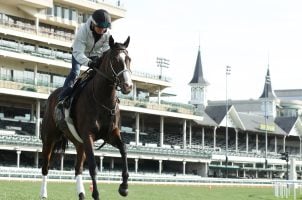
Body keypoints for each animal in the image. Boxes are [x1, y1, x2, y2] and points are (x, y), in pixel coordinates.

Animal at [39, 36, 132, 200]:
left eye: (129, 59)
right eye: (115, 60)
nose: (128, 86)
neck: (102, 99)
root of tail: (52, 96)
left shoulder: (110, 134)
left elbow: (124, 149)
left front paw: (124, 187)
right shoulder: (88, 135)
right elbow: (93, 166)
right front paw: (96, 194)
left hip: (79, 143)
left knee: (78, 169)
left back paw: (81, 194)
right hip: (49, 138)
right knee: (45, 166)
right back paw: (43, 194)